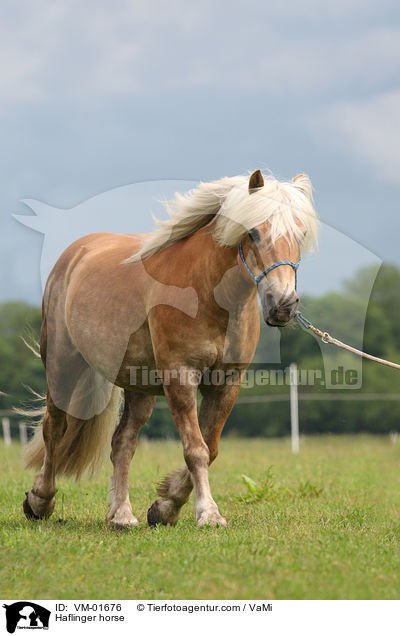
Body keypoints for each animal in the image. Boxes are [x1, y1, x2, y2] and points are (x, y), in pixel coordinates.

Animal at [24, 168, 318, 528]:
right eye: (253, 232)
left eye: (301, 234)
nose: (283, 305)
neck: (206, 291)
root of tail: (75, 254)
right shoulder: (180, 378)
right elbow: (196, 449)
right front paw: (208, 513)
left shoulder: (226, 385)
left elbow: (211, 447)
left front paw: (166, 505)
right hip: (62, 366)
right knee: (55, 428)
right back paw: (40, 500)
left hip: (139, 386)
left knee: (122, 443)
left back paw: (121, 514)